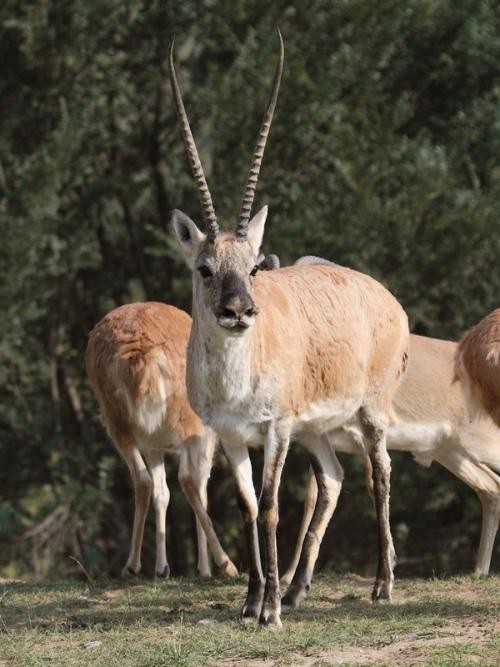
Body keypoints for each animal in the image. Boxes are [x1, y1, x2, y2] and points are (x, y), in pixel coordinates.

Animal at [85, 302, 239, 580]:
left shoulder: (153, 444)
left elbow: (163, 493)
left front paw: (162, 567)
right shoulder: (206, 437)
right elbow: (201, 489)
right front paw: (204, 568)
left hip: (116, 422)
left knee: (143, 480)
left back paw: (132, 565)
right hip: (189, 421)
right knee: (188, 480)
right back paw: (226, 564)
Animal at [168, 30, 410, 628]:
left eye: (254, 265)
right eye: (205, 268)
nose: (238, 312)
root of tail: (384, 297)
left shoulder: (276, 429)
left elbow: (273, 507)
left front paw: (270, 611)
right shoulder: (232, 435)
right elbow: (246, 505)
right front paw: (253, 600)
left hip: (369, 412)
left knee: (379, 473)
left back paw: (382, 585)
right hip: (317, 430)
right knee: (333, 479)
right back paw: (299, 588)